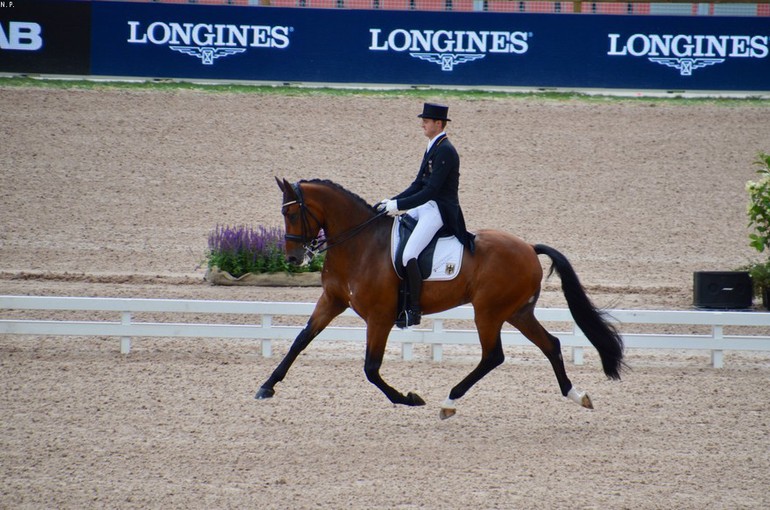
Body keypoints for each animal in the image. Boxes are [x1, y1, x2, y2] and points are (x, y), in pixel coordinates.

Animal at [255, 179, 620, 418]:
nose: (292, 259)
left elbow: (371, 369)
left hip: (488, 311)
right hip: (517, 312)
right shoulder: (332, 300)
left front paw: (409, 398)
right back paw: (577, 395)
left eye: (292, 214)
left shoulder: (380, 317)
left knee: (494, 356)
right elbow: (300, 340)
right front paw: (267, 386)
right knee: (550, 345)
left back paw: (449, 401)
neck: (359, 244)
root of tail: (529, 248)